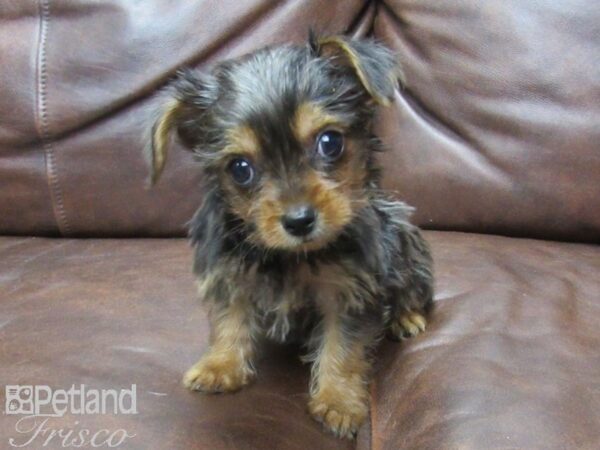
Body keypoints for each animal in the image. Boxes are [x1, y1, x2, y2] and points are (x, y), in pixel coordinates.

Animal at [148, 35, 434, 440]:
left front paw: (338, 402)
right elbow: (228, 319)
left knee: (413, 290)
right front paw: (221, 365)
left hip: (405, 241)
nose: (299, 221)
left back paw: (405, 318)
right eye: (240, 168)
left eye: (330, 142)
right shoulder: (227, 272)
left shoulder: (351, 289)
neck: (289, 255)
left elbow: (343, 347)